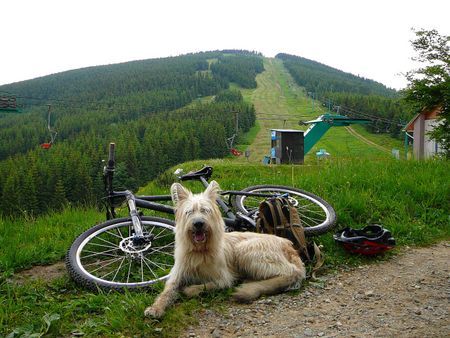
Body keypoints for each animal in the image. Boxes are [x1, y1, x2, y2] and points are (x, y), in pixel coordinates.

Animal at [144, 181, 306, 318]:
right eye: (189, 212)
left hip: (246, 249)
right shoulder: (177, 275)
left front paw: (190, 289)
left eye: (205, 211)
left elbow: (205, 285)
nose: (198, 224)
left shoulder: (223, 279)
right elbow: (167, 291)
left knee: (291, 273)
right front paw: (155, 308)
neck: (199, 251)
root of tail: (289, 245)